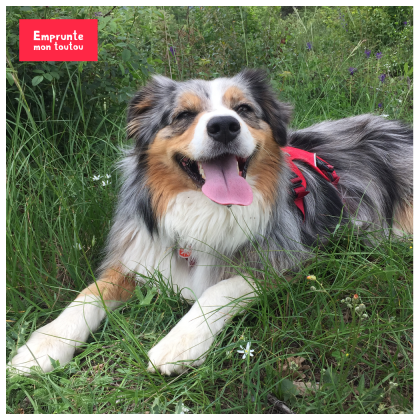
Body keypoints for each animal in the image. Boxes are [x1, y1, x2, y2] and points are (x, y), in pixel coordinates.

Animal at [9, 68, 414, 374]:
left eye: (244, 109)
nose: (224, 126)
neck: (206, 210)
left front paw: (178, 344)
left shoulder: (286, 260)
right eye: (184, 115)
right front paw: (43, 347)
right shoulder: (138, 255)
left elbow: (218, 290)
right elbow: (87, 295)